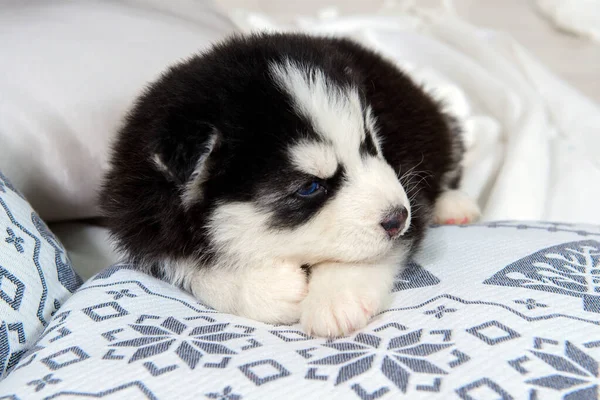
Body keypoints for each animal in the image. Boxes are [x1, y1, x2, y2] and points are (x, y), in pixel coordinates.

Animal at [101, 32, 480, 336]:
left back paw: (454, 205)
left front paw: (336, 298)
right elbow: (185, 265)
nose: (398, 218)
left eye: (370, 145)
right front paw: (262, 288)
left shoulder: (404, 179)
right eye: (310, 187)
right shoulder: (142, 221)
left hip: (436, 128)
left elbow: (369, 252)